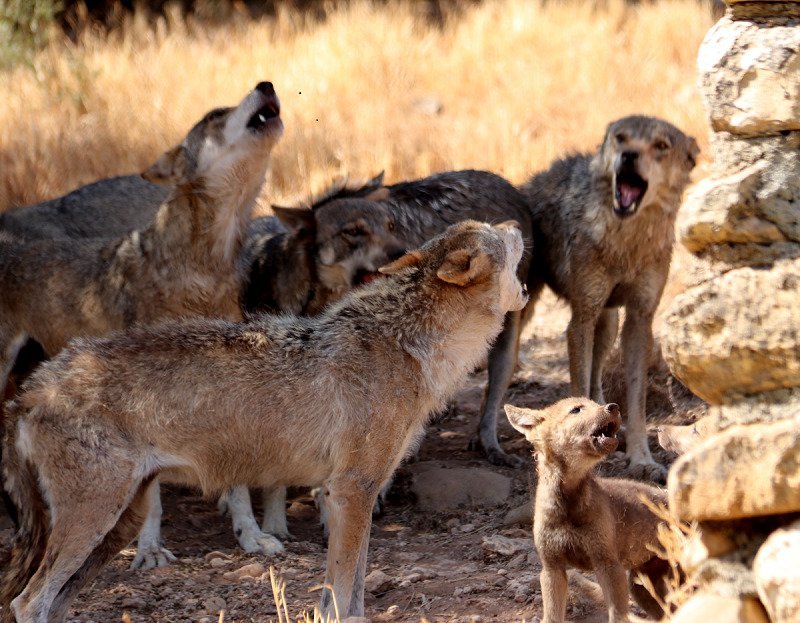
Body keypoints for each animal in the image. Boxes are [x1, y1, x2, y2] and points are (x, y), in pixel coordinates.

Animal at [1, 221, 532, 623]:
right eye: (497, 236)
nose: (515, 223)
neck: (411, 346)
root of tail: (33, 389)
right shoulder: (353, 490)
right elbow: (345, 588)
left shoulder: (346, 494)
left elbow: (348, 589)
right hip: (94, 520)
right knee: (27, 603)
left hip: (117, 527)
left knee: (50, 603)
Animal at [506, 400, 668, 623]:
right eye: (576, 409)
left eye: (595, 403)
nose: (613, 406)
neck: (567, 507)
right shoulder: (551, 568)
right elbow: (552, 616)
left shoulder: (608, 565)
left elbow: (617, 616)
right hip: (642, 588)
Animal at [520, 116, 700, 482]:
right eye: (621, 138)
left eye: (661, 145)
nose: (628, 156)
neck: (627, 241)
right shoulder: (582, 316)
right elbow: (577, 386)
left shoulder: (639, 319)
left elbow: (636, 399)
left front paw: (641, 459)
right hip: (529, 308)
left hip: (609, 323)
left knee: (596, 376)